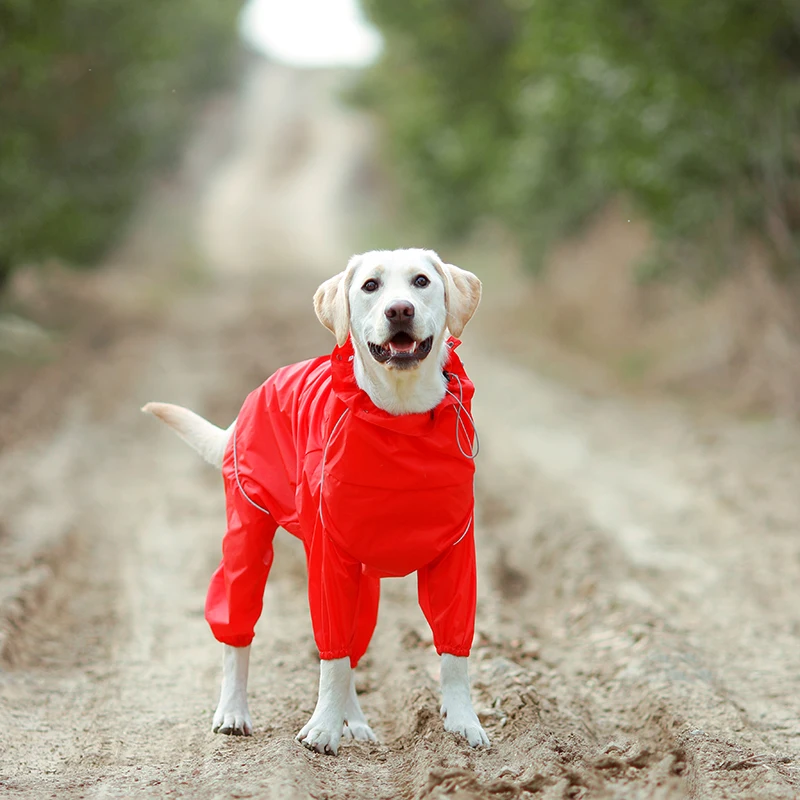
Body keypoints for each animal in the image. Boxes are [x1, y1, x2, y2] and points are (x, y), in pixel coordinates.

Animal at [144, 247, 488, 752]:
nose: (399, 310)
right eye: (370, 286)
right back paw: (233, 711)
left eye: (422, 281)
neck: (400, 420)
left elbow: (453, 654)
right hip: (247, 538)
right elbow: (332, 657)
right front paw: (323, 728)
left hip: (363, 578)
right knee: (238, 633)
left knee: (354, 651)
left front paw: (464, 724)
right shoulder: (329, 561)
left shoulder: (456, 556)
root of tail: (257, 392)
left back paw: (356, 723)